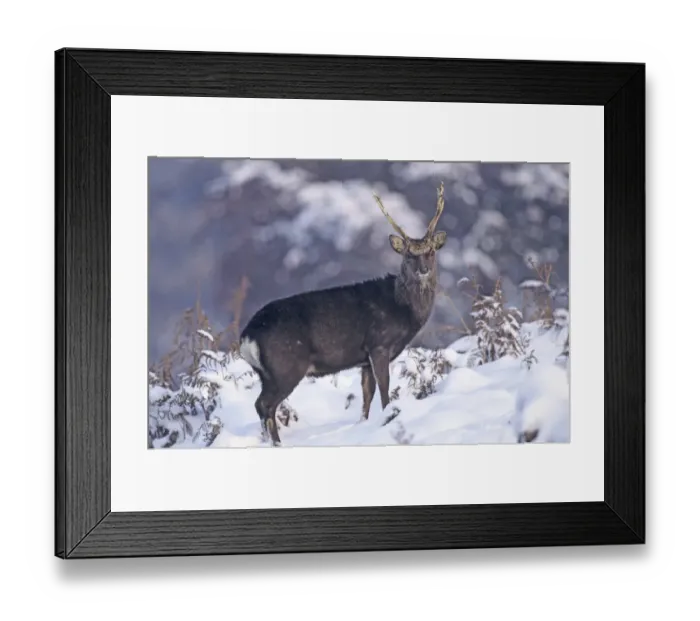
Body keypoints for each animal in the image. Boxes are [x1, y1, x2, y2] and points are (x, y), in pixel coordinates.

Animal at [239, 182, 448, 446]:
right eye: (409, 255)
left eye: (431, 252)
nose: (423, 270)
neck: (402, 309)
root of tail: (247, 337)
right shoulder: (379, 344)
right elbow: (384, 389)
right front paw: (389, 417)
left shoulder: (364, 358)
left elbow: (367, 395)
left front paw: (363, 425)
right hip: (286, 366)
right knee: (265, 404)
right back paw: (277, 443)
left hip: (265, 373)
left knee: (261, 405)